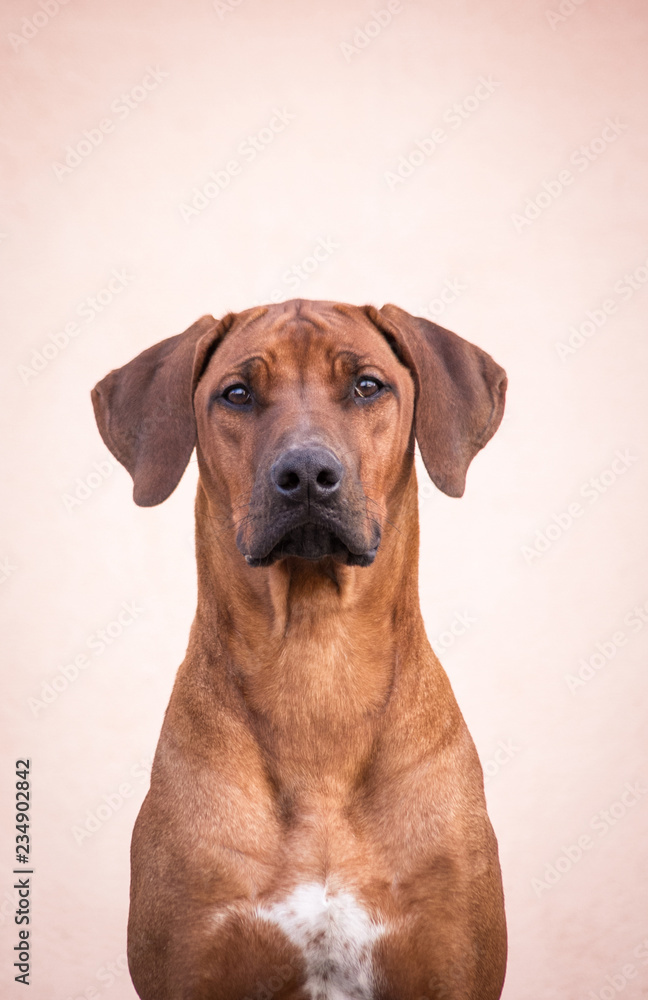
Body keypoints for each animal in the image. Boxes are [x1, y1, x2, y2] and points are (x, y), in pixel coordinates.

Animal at [90, 298, 506, 1000]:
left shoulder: (451, 959)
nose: (307, 474)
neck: (316, 665)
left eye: (367, 386)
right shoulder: (192, 958)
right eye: (237, 393)